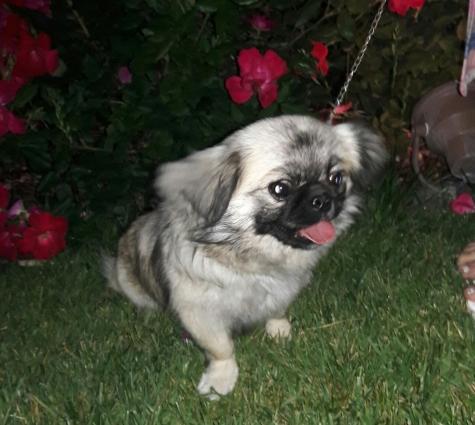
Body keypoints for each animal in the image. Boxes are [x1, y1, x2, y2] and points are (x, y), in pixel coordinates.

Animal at [103, 115, 387, 398]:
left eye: (336, 178)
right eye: (280, 189)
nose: (322, 198)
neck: (254, 262)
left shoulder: (282, 291)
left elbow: (277, 310)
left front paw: (279, 331)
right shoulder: (200, 313)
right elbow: (221, 349)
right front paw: (220, 380)